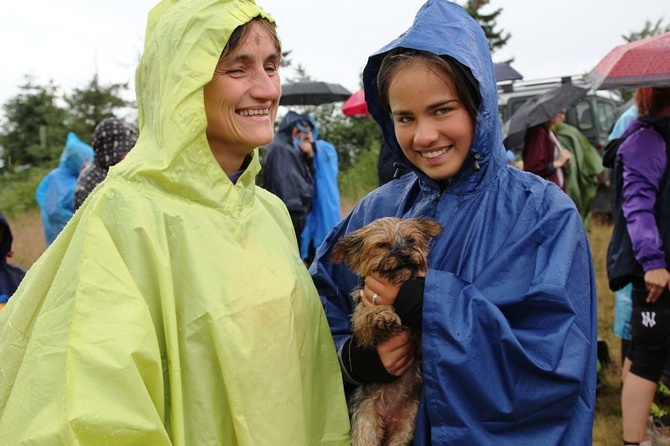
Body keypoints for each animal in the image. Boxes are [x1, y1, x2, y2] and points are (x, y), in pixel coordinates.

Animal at [330, 216, 444, 446]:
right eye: (383, 244)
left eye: (411, 240)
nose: (406, 255)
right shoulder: (361, 315)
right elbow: (366, 316)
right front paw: (383, 316)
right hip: (366, 425)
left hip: (405, 426)